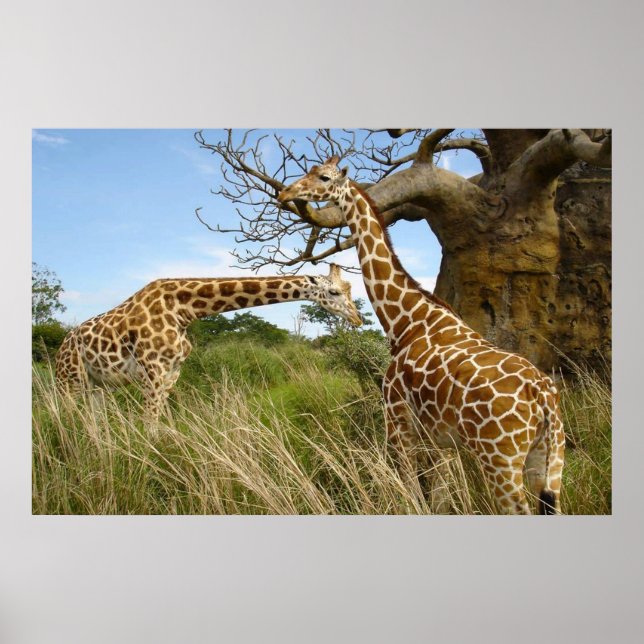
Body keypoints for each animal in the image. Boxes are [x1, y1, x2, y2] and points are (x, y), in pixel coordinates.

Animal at [55, 264, 362, 424]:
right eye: (334, 292)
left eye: (349, 290)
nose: (357, 318)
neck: (183, 311)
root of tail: (61, 346)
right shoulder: (152, 372)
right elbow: (150, 425)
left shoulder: (171, 373)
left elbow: (162, 423)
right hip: (69, 381)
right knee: (66, 418)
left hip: (97, 385)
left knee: (94, 422)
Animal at [279, 157, 566, 515]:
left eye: (324, 178)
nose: (286, 192)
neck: (406, 319)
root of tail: (544, 399)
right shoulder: (439, 437)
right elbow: (439, 498)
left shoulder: (398, 422)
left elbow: (412, 493)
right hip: (550, 460)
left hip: (500, 458)